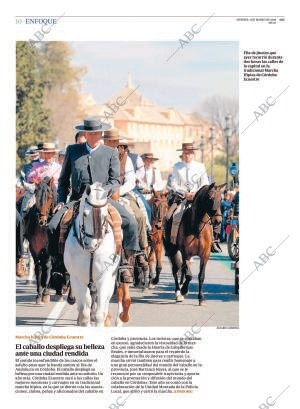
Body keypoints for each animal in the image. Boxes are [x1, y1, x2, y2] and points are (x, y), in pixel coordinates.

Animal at [63, 183, 121, 326]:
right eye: (84, 214)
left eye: (105, 216)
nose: (92, 245)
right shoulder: (77, 279)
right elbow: (84, 314)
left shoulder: (104, 278)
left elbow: (100, 313)